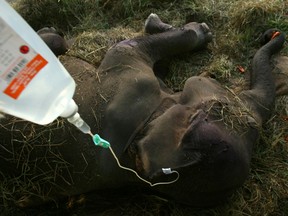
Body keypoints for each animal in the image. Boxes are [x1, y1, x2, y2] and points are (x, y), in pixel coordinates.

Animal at [0, 13, 286, 208]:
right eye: (220, 105)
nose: (271, 33)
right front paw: (197, 29)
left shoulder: (129, 83)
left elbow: (127, 46)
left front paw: (193, 28)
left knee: (56, 41)